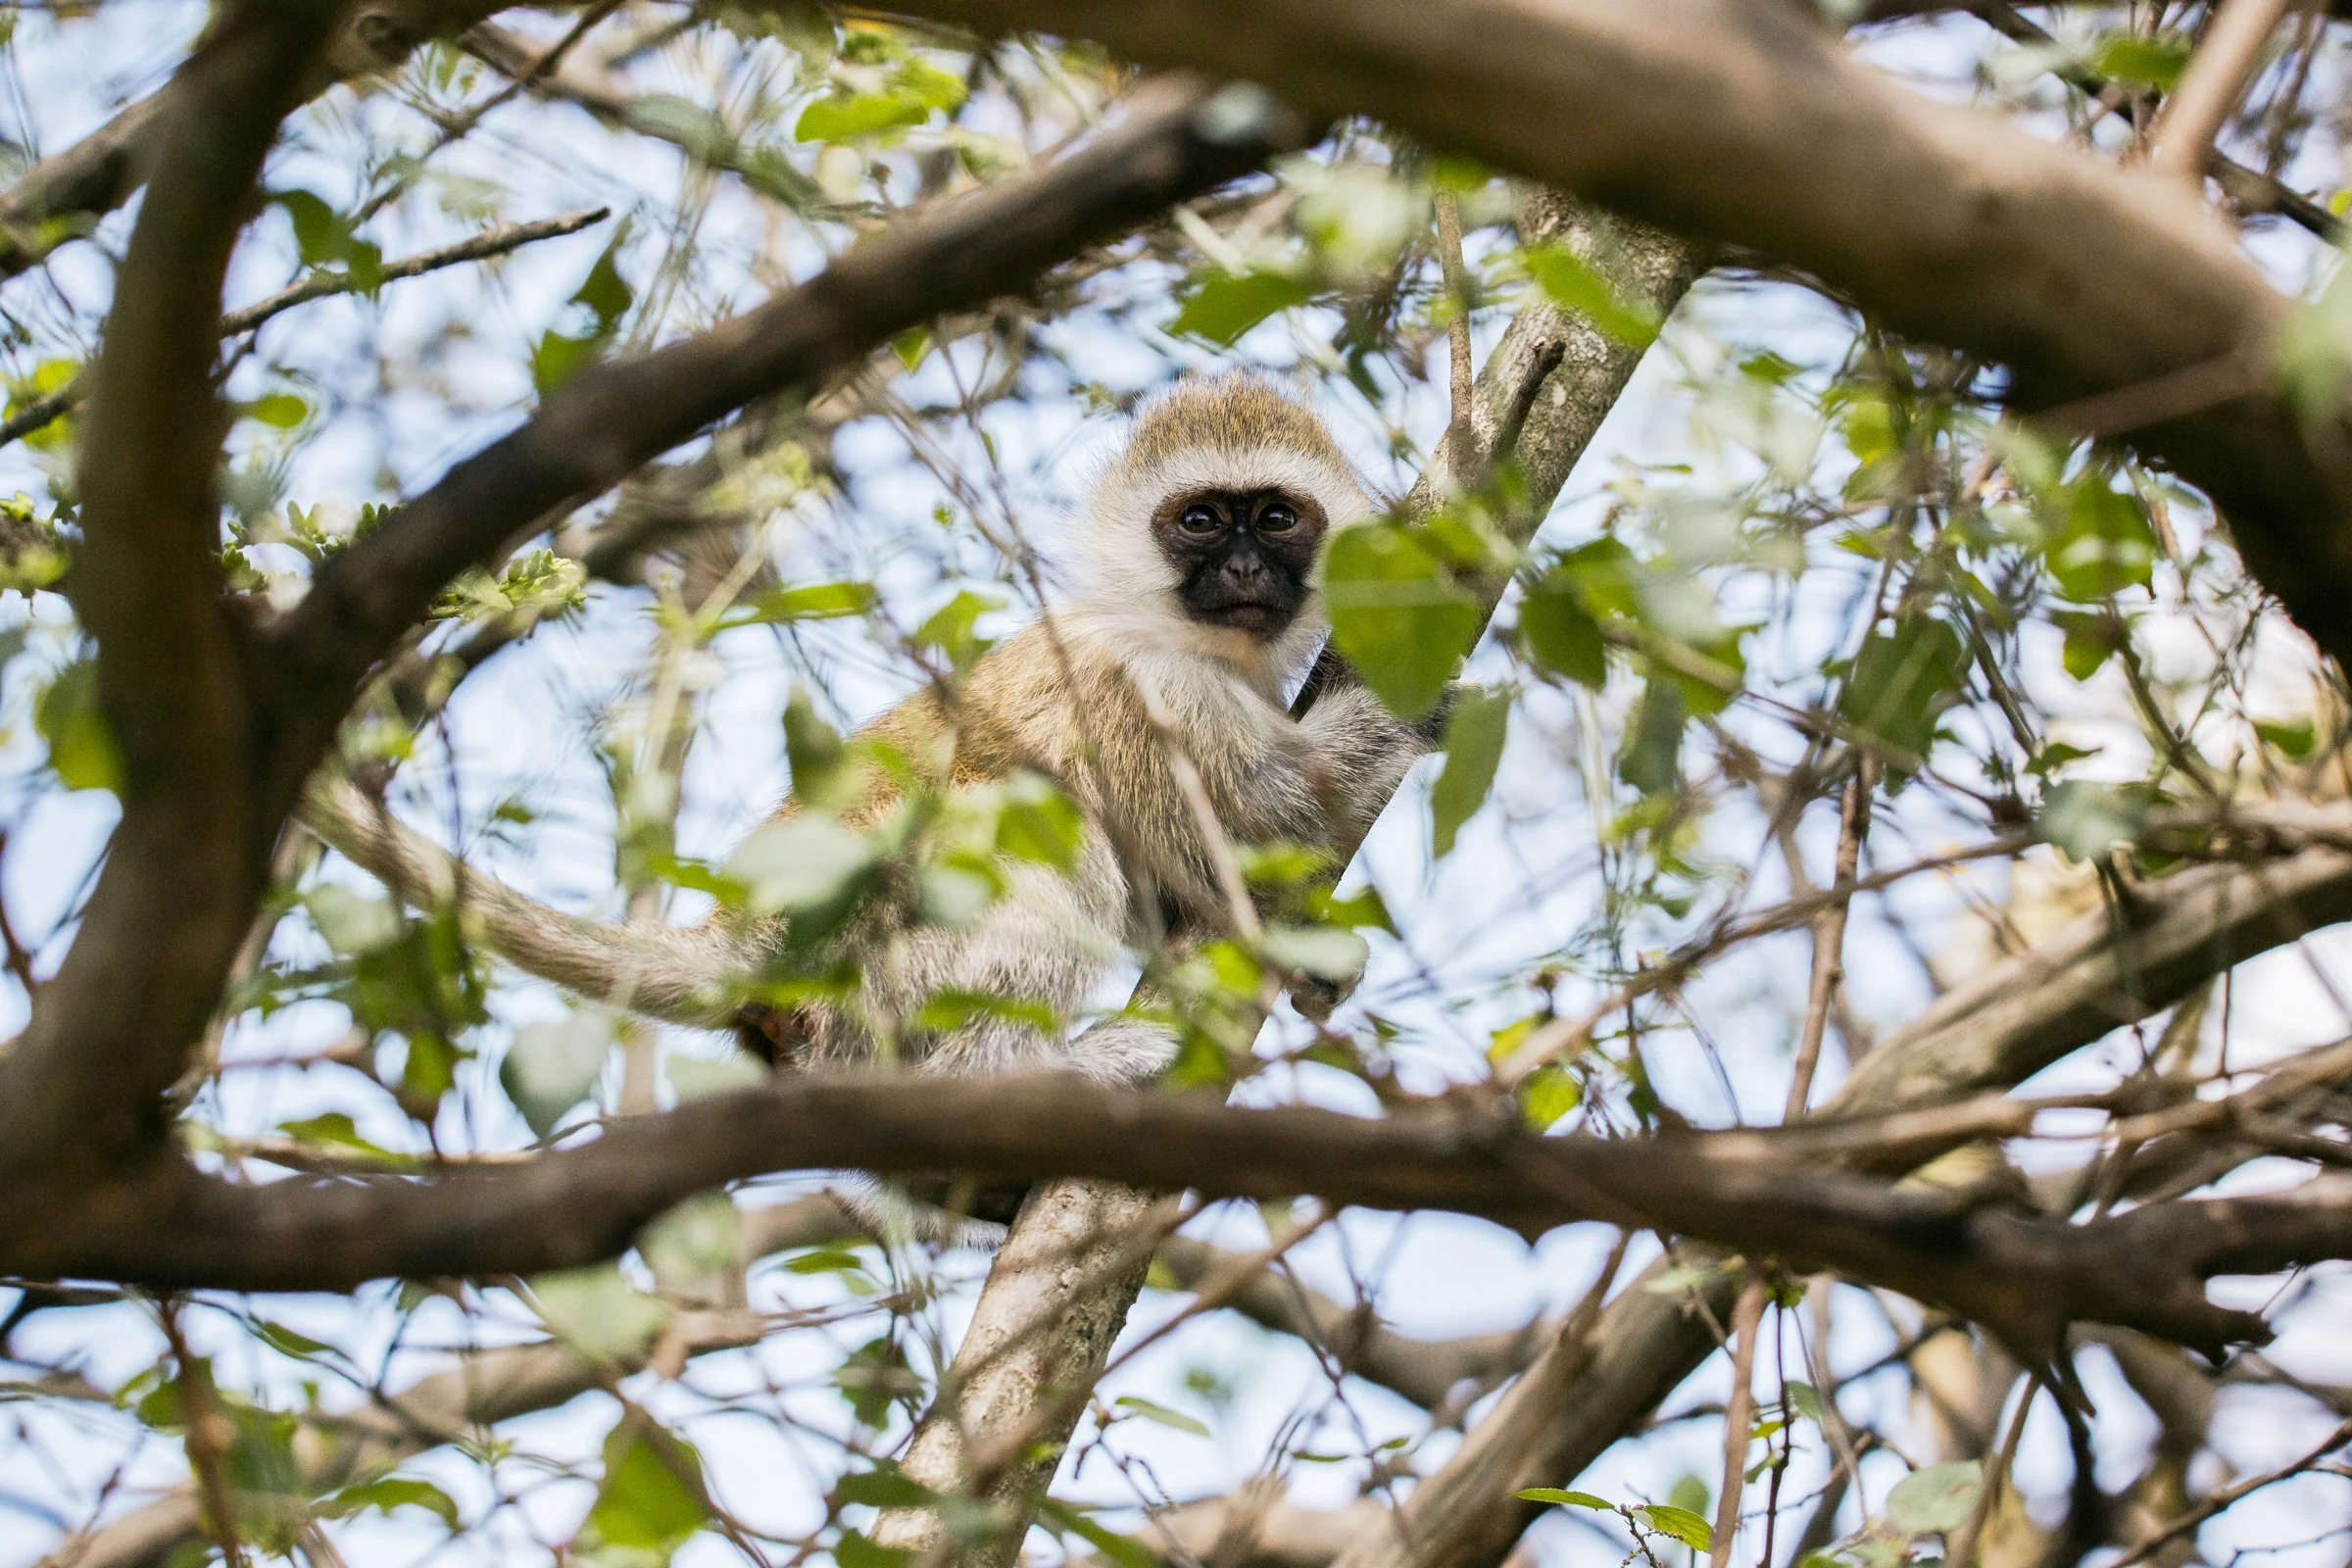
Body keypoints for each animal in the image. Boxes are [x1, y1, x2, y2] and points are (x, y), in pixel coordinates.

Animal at [730, 375, 1440, 1236]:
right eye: (1200, 521)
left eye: (1277, 518)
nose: (1243, 567)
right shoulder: (1147, 688)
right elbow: (1261, 824)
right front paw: (1406, 701)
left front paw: (1315, 964)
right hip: (883, 978)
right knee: (1068, 853)